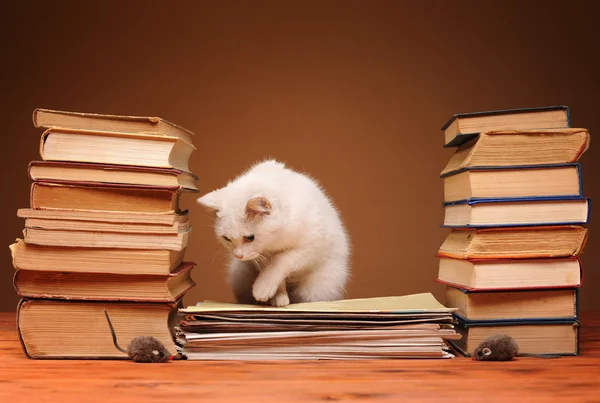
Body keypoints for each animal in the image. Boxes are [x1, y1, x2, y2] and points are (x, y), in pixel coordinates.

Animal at [197, 159, 350, 308]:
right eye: (226, 238)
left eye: (250, 238)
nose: (238, 256)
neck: (276, 241)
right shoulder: (261, 256)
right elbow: (272, 269)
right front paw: (277, 296)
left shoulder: (311, 246)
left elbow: (281, 260)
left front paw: (263, 287)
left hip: (319, 287)